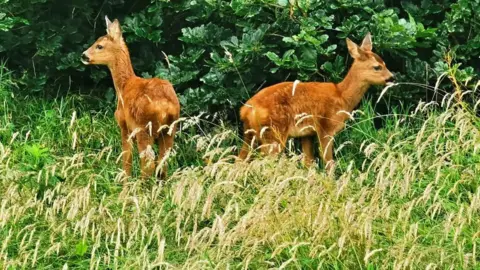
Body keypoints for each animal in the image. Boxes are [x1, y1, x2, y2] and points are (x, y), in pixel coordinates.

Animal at [82, 15, 180, 178]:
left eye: (99, 46)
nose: (84, 55)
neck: (124, 86)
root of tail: (165, 106)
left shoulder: (124, 125)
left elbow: (126, 159)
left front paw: (124, 183)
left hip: (144, 127)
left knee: (148, 162)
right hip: (170, 129)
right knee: (162, 162)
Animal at [239, 33, 394, 171]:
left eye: (385, 63)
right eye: (377, 67)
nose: (392, 77)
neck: (342, 96)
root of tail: (246, 110)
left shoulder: (307, 134)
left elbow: (309, 163)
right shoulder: (326, 126)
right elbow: (329, 162)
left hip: (250, 134)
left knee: (239, 160)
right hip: (273, 132)